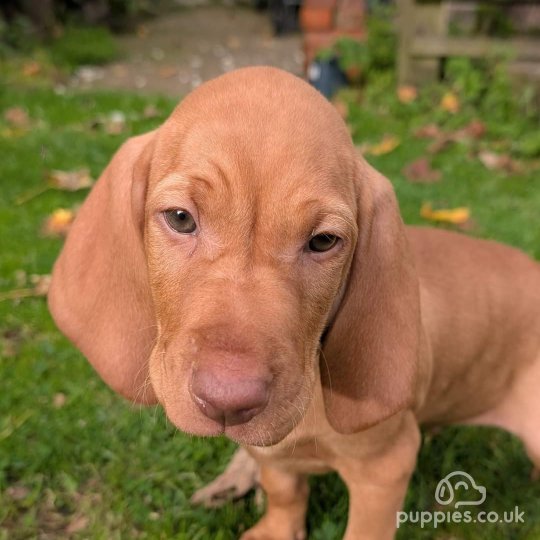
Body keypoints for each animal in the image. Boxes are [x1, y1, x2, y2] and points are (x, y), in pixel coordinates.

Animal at [47, 67, 540, 540]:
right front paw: (277, 529)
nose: (228, 402)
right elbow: (283, 489)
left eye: (323, 241)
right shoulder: (271, 452)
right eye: (180, 218)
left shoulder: (386, 465)